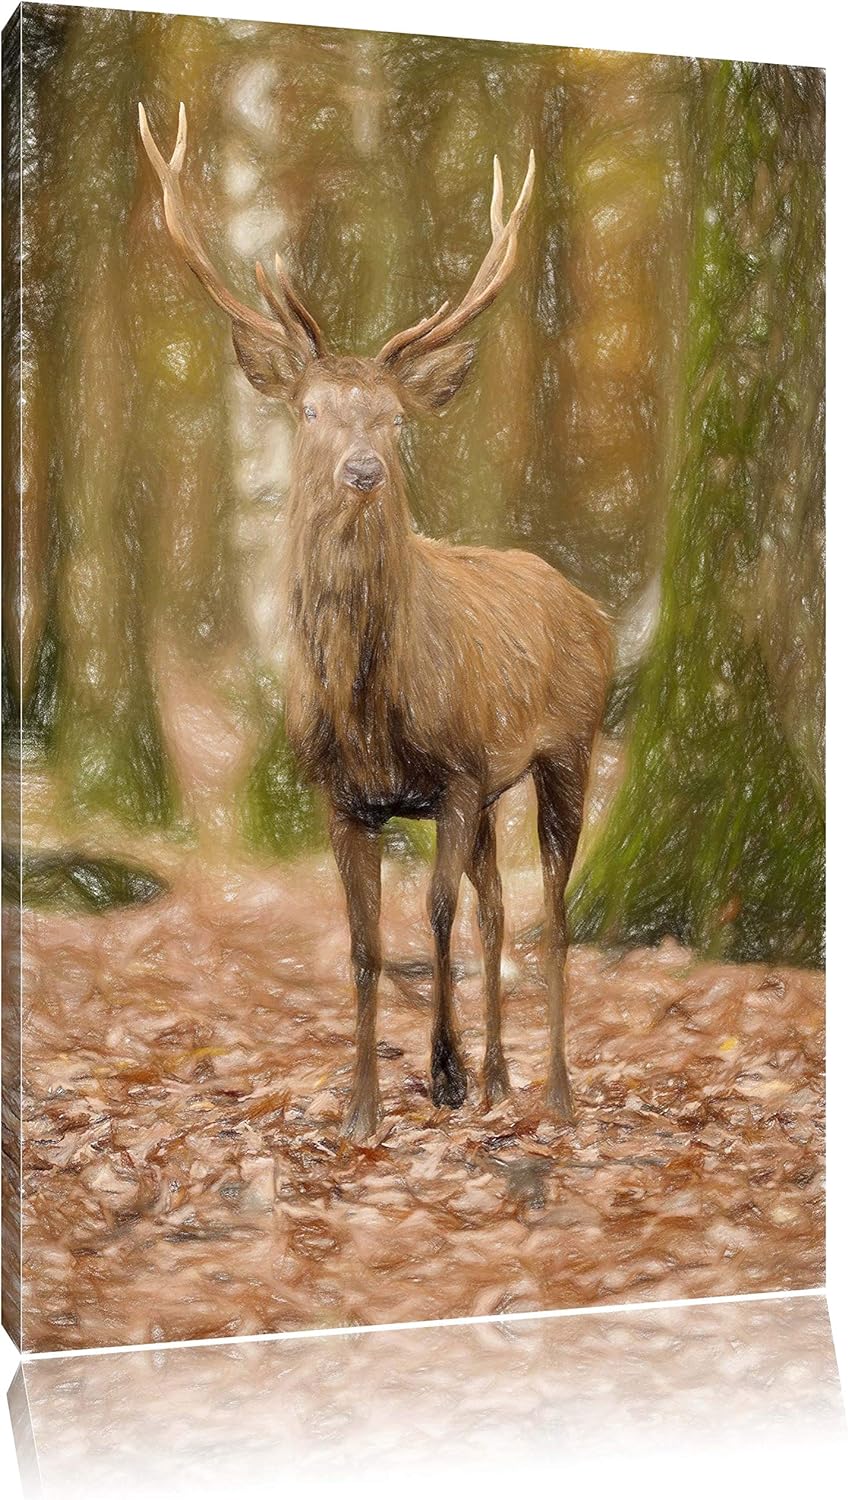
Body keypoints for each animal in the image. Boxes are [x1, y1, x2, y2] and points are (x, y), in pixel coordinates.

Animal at [138, 103, 613, 1142]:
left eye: (393, 418)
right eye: (311, 410)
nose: (363, 470)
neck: (369, 710)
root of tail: (590, 603)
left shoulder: (461, 772)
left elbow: (430, 916)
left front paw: (439, 1076)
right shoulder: (343, 794)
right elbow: (360, 942)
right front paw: (362, 1105)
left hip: (569, 748)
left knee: (552, 919)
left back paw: (554, 1094)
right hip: (506, 785)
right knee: (499, 907)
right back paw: (503, 1077)